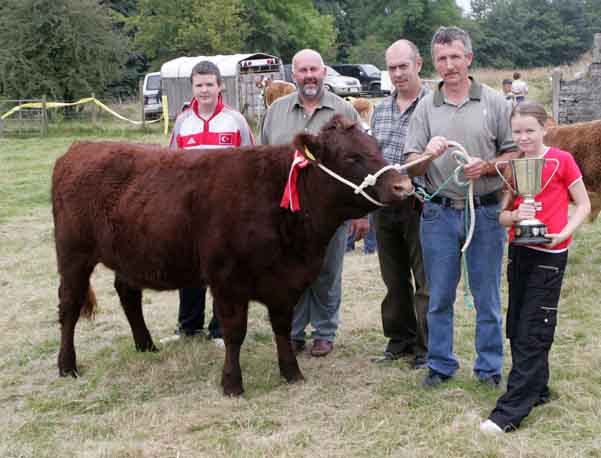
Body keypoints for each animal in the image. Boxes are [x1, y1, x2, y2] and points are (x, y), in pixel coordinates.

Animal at [52, 113, 412, 394]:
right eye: (351, 157)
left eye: (376, 149)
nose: (403, 186)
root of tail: (81, 147)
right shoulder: (227, 281)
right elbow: (234, 333)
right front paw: (232, 384)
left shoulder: (286, 283)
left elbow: (282, 327)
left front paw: (291, 373)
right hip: (73, 253)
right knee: (69, 305)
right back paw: (67, 365)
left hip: (129, 253)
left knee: (128, 293)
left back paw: (146, 345)